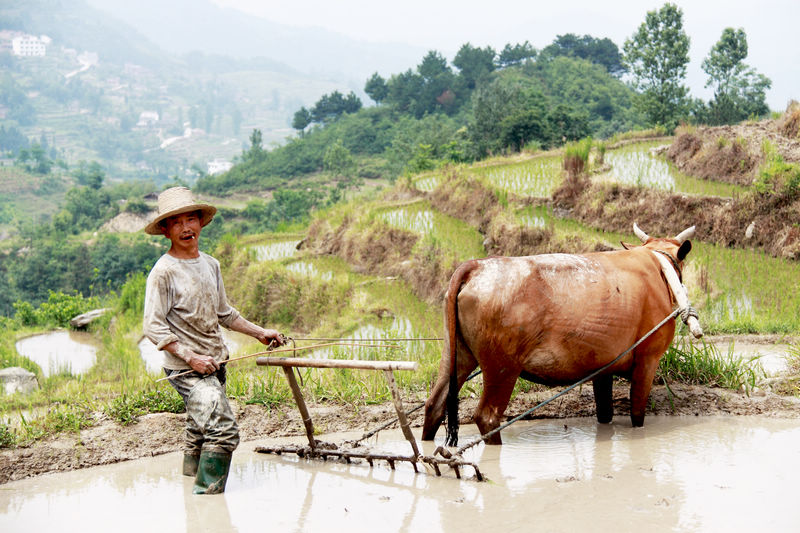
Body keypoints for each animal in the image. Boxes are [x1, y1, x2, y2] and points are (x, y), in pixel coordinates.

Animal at [422, 223, 703, 446]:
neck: (655, 264)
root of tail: (476, 266)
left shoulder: (602, 367)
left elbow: (605, 415)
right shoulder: (648, 360)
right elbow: (637, 415)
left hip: (457, 354)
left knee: (434, 405)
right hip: (502, 368)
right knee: (487, 417)